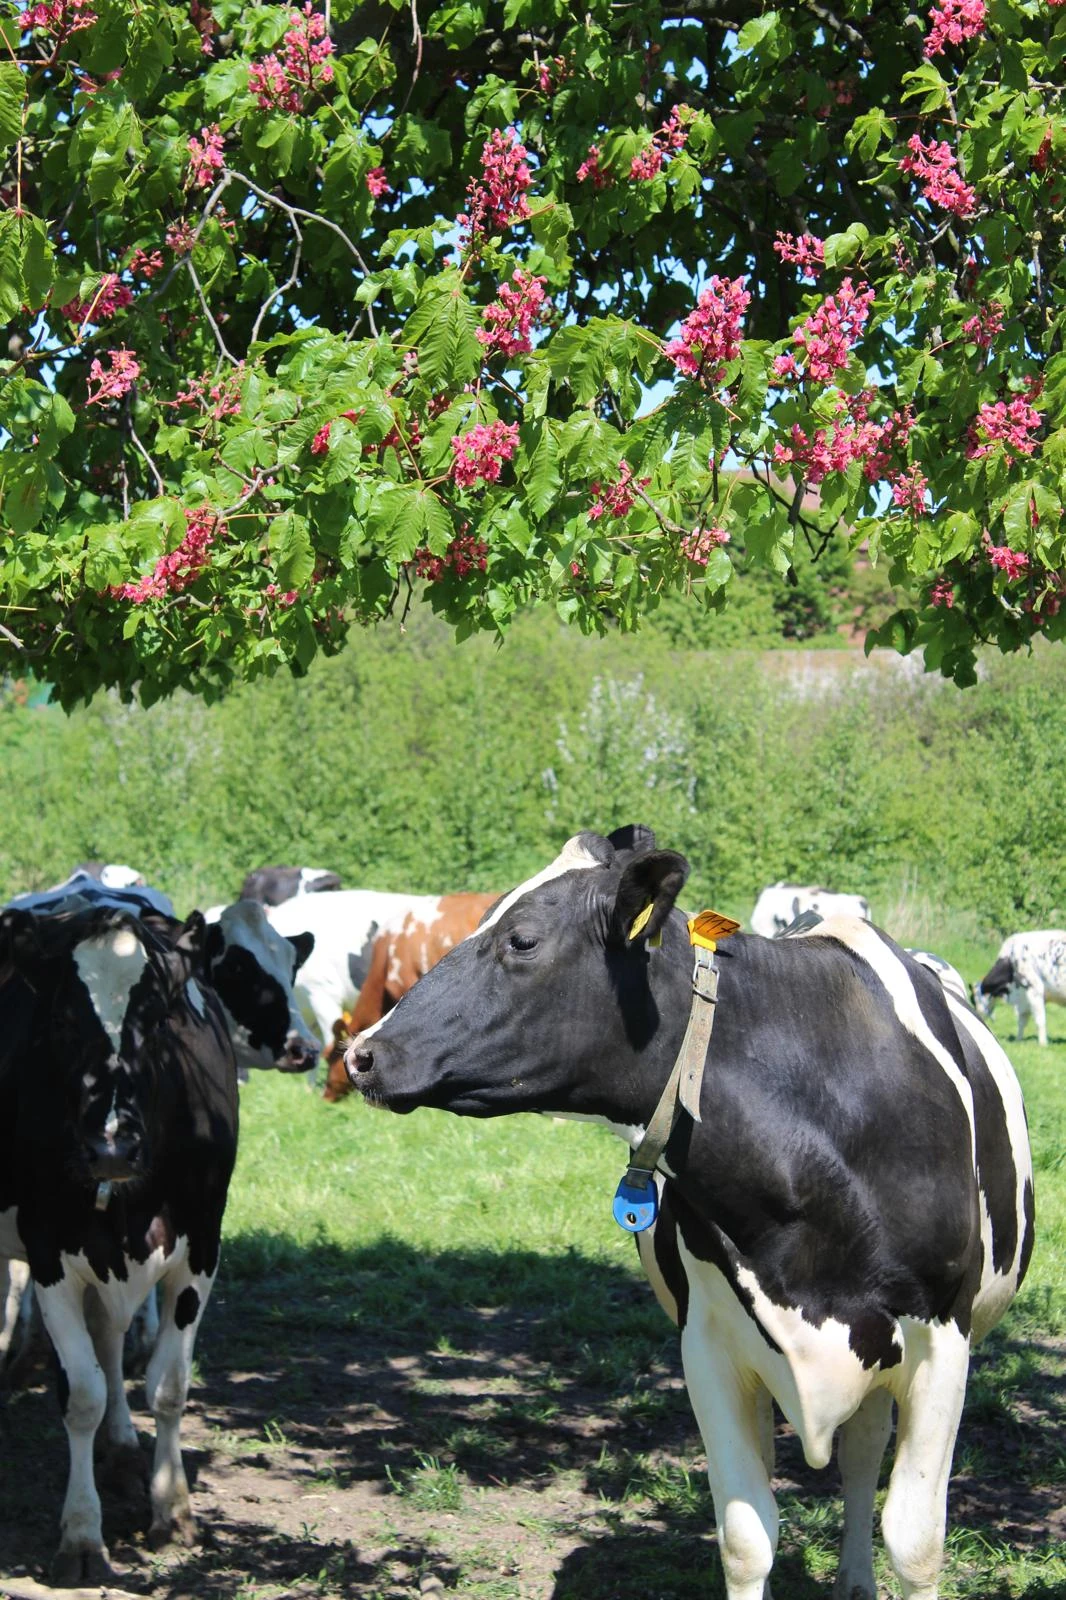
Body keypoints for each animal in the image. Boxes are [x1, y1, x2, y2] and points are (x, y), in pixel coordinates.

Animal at [0, 903, 239, 1584]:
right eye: (60, 1020)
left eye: (157, 1020)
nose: (110, 1148)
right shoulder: (49, 1250)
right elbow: (80, 1393)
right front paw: (82, 1536)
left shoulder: (201, 1247)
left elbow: (168, 1384)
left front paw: (172, 1509)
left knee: (110, 1338)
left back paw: (123, 1446)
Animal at [346, 826, 1033, 1600]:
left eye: (522, 939)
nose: (362, 1053)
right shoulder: (709, 1346)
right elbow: (746, 1539)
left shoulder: (943, 1341)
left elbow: (915, 1542)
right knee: (855, 1450)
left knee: (862, 1455)